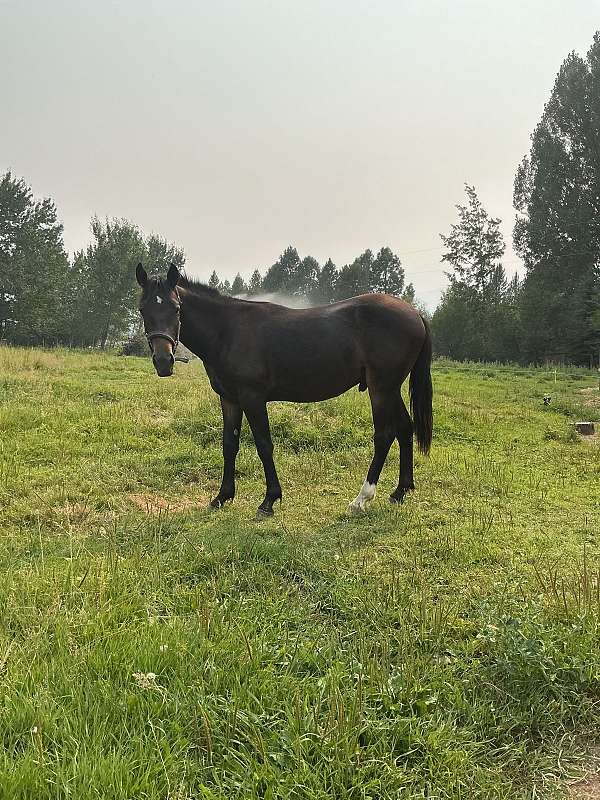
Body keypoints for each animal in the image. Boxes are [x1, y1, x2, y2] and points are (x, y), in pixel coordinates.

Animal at [136, 262, 433, 517]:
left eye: (176, 308)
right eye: (143, 311)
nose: (163, 361)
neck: (228, 330)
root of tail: (415, 313)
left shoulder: (253, 398)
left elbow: (264, 445)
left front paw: (269, 500)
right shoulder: (230, 399)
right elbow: (229, 445)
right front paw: (222, 496)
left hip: (381, 388)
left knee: (384, 435)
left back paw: (362, 499)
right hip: (391, 388)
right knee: (405, 428)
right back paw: (400, 491)